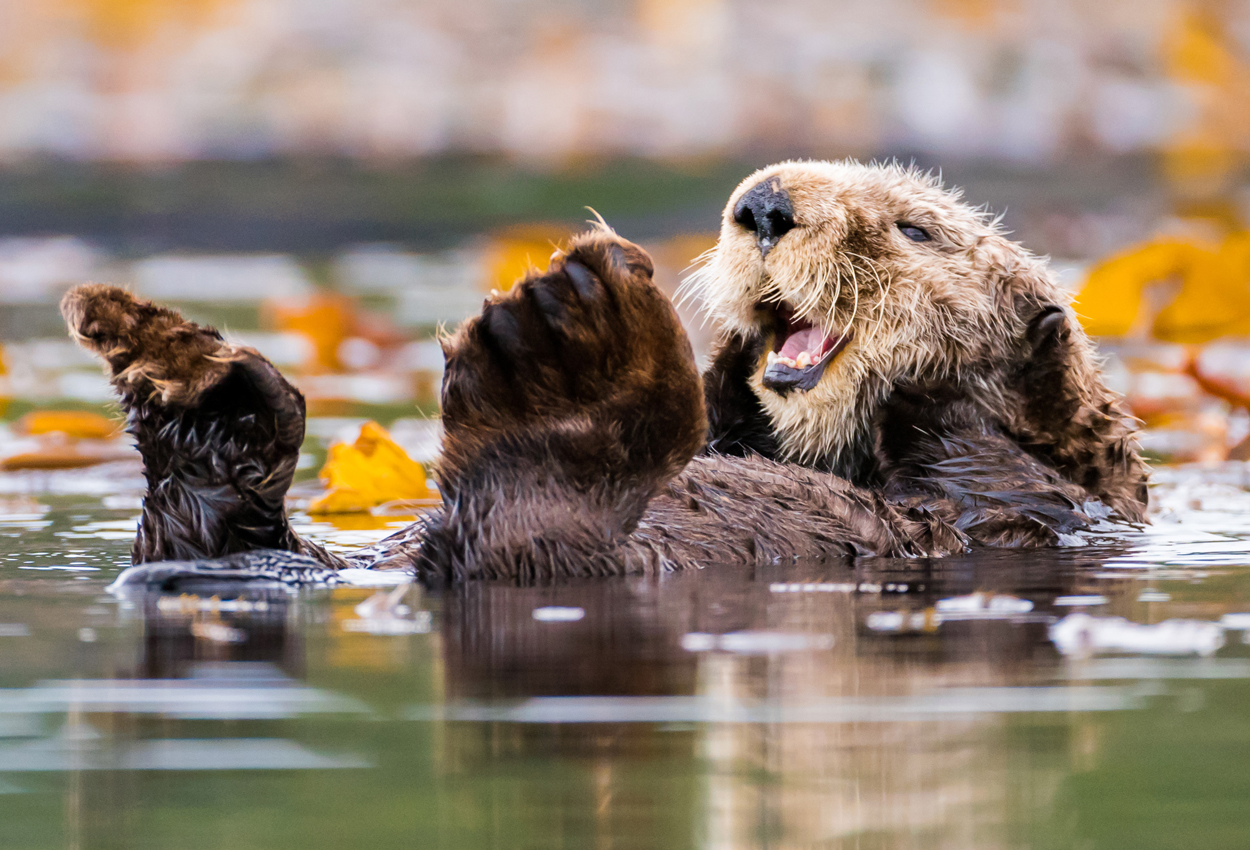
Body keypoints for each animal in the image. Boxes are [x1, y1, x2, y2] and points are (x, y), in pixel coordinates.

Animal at [63, 159, 1145, 585]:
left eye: (915, 228)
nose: (762, 203)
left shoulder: (1027, 499)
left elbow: (959, 453)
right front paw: (732, 364)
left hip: (559, 537)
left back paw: (557, 344)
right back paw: (177, 365)